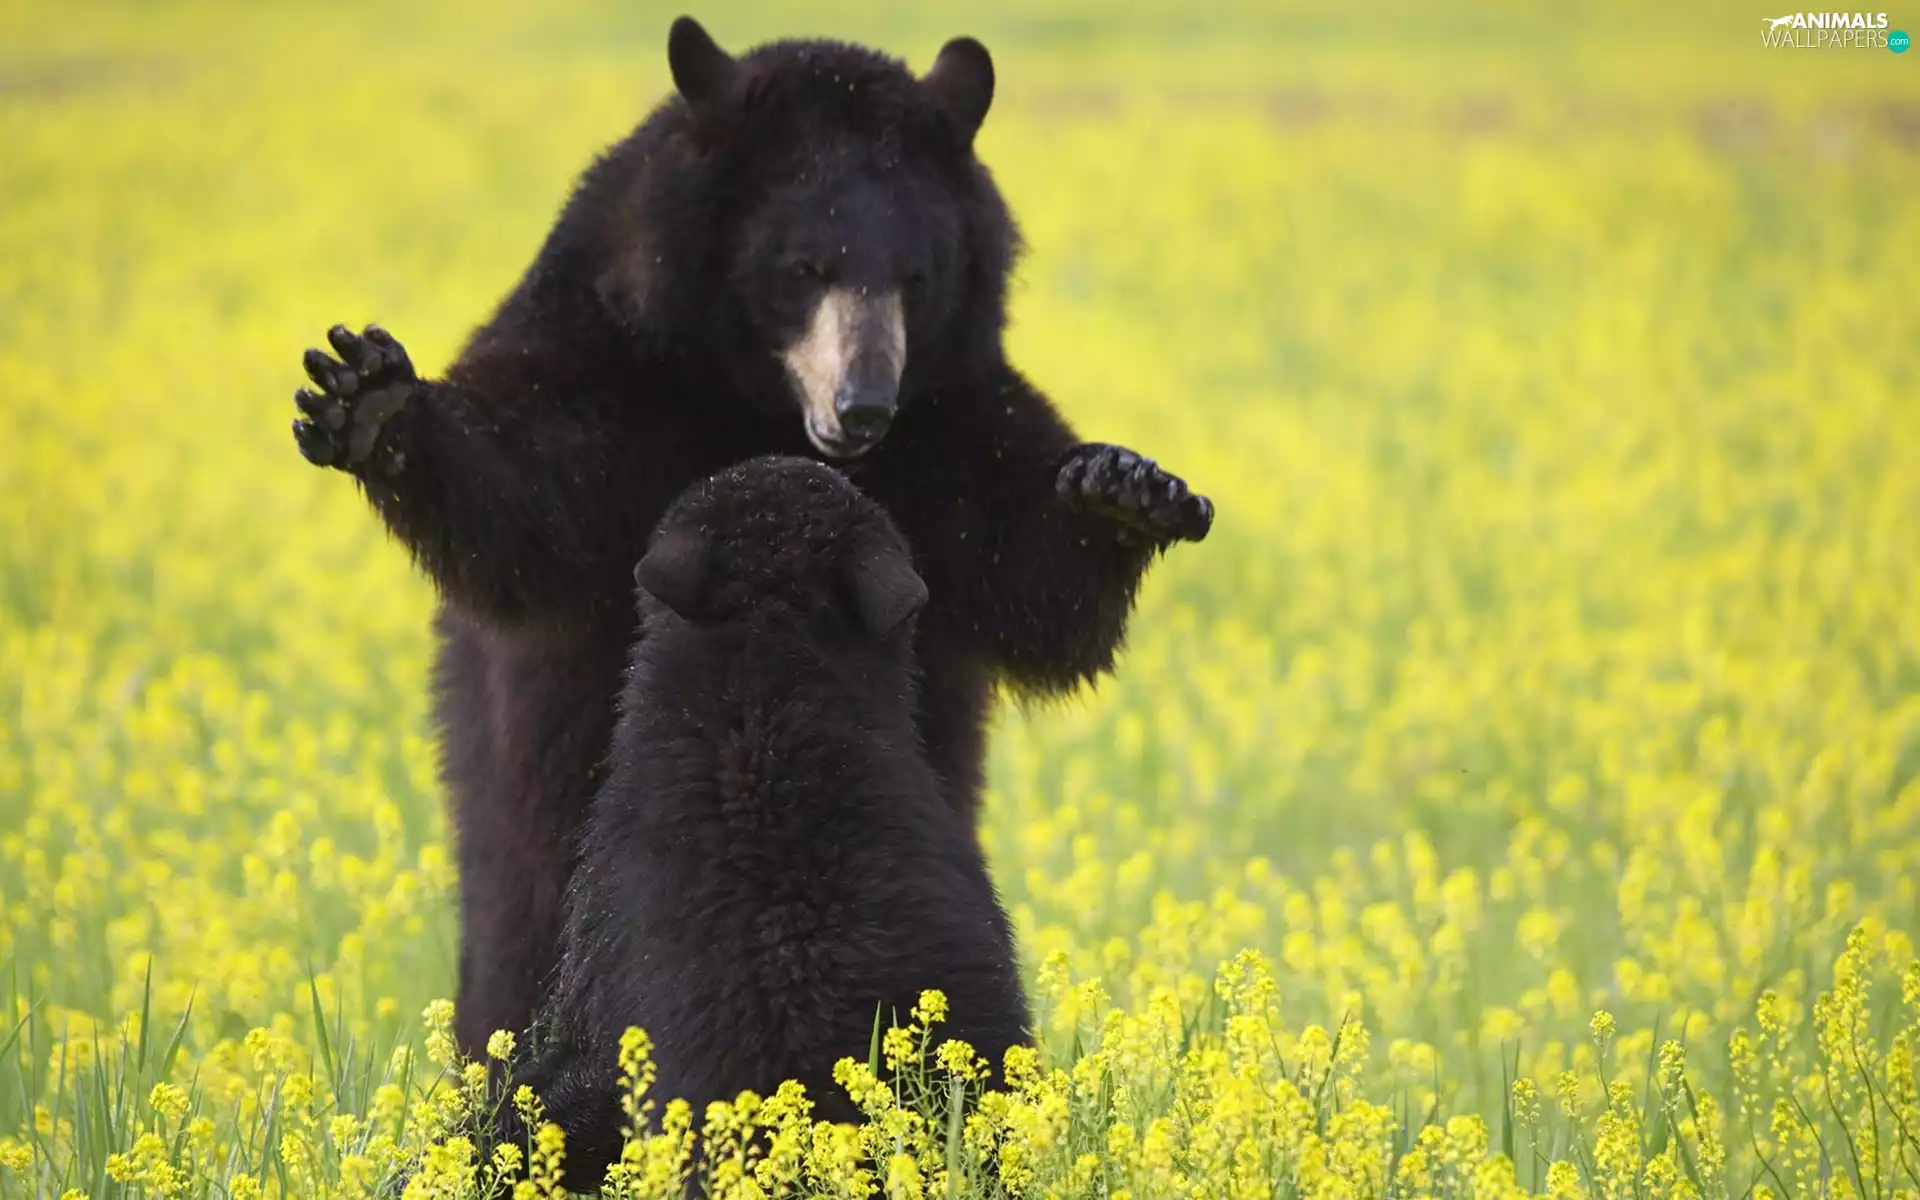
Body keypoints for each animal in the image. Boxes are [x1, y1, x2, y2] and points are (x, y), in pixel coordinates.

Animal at [290, 16, 1212, 1055]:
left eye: (915, 276)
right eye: (804, 268)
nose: (863, 406)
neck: (752, 400)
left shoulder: (949, 422)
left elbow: (1029, 569)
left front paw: (1122, 493)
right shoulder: (610, 362)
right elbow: (524, 485)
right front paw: (373, 404)